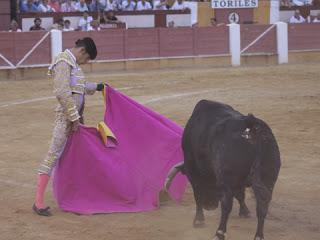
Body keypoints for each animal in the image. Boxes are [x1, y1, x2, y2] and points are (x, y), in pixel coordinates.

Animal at [165, 100, 280, 240]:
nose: (209, 206)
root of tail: (251, 125)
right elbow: (240, 195)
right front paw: (245, 212)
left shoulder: (194, 173)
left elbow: (198, 195)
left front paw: (198, 221)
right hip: (268, 177)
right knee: (262, 205)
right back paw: (258, 236)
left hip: (228, 178)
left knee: (226, 204)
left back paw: (219, 232)